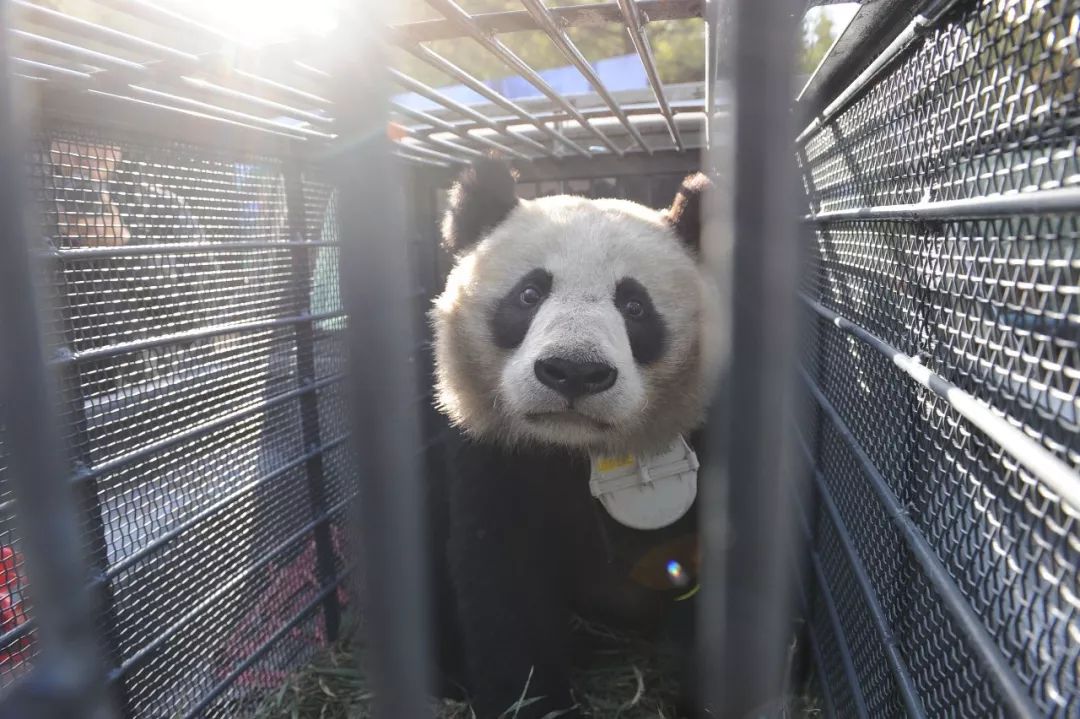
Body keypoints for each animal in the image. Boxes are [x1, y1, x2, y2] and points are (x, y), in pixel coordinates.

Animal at [425, 158, 721, 716]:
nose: (574, 372)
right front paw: (531, 700)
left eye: (634, 306)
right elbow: (504, 577)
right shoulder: (492, 451)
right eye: (529, 294)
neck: (580, 448)